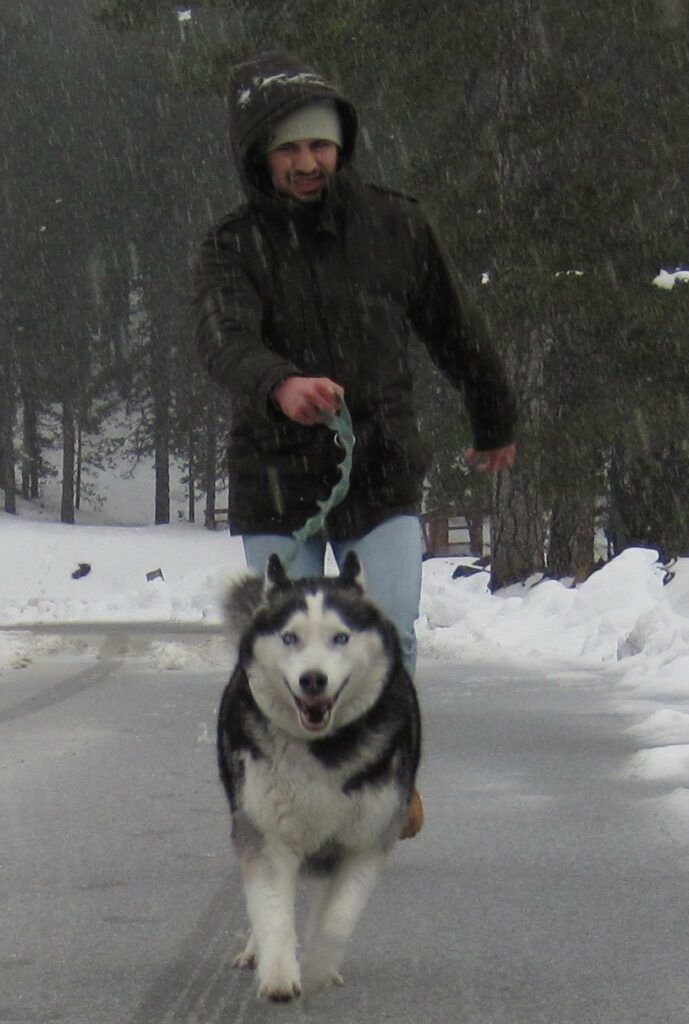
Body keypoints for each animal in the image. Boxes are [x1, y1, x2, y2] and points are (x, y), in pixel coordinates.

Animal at [216, 552, 419, 999]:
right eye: (289, 638)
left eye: (340, 638)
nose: (313, 679)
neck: (322, 746)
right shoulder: (265, 832)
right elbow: (270, 908)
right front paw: (278, 972)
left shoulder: (365, 841)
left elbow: (336, 919)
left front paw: (318, 966)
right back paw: (255, 951)